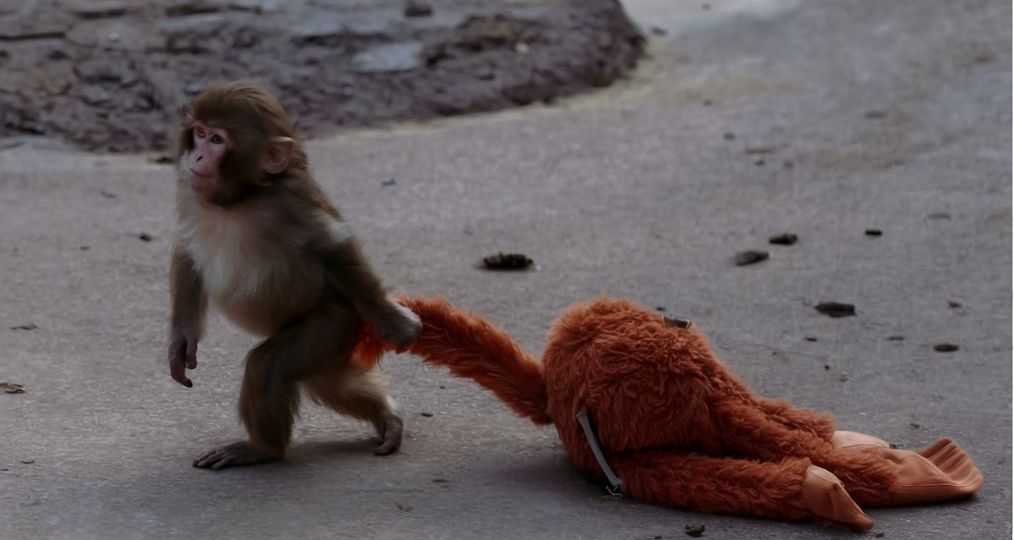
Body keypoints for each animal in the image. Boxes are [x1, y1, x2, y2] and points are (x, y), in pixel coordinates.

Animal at [167, 81, 421, 470]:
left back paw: (262, 449)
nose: (195, 158)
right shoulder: (190, 193)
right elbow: (187, 249)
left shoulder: (290, 202)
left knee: (269, 366)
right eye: (199, 133)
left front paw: (393, 321)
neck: (239, 199)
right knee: (327, 381)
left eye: (217, 140)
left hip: (335, 319)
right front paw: (181, 341)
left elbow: (334, 245)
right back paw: (385, 415)